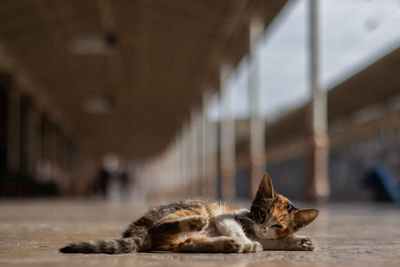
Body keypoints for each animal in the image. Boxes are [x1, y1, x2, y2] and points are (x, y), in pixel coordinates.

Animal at [59, 173, 318, 254]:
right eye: (262, 214)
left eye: (278, 225)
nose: (263, 227)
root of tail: (136, 228)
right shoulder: (227, 215)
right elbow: (238, 228)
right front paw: (247, 242)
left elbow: (273, 241)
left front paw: (300, 240)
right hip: (195, 206)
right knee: (161, 227)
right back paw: (202, 224)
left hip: (182, 237)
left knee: (183, 244)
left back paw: (227, 244)